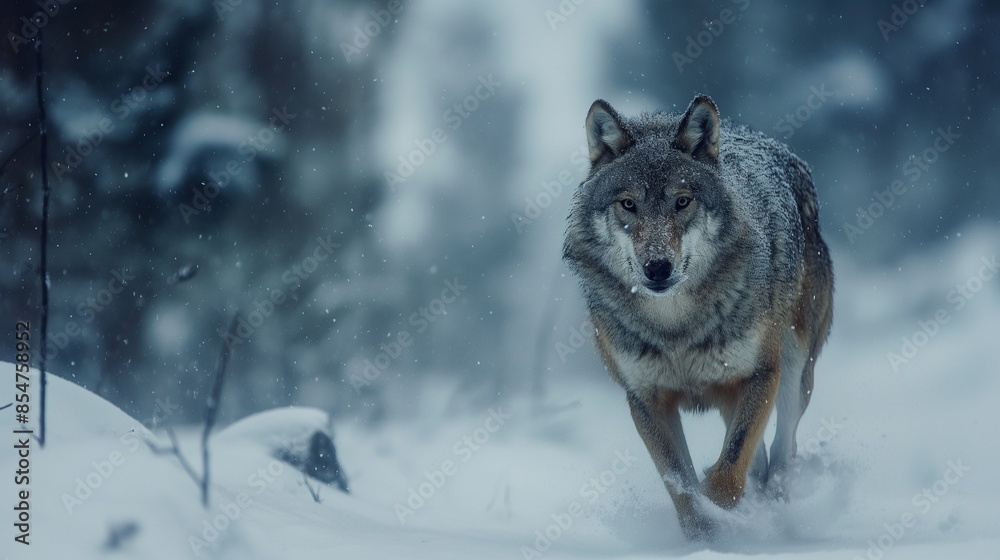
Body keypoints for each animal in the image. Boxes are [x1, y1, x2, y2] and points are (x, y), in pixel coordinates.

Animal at [562, 94, 833, 539]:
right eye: (628, 204)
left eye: (682, 201)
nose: (657, 267)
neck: (676, 327)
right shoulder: (645, 398)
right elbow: (681, 484)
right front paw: (702, 533)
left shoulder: (762, 374)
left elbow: (729, 471)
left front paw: (721, 519)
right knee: (760, 456)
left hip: (794, 369)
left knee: (782, 450)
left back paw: (775, 506)